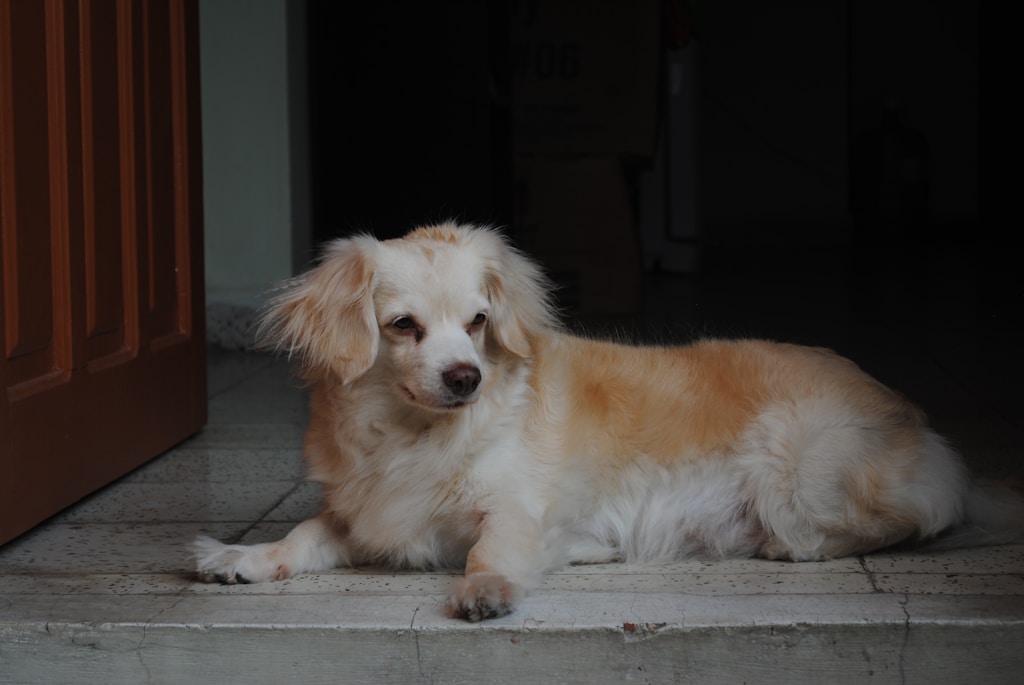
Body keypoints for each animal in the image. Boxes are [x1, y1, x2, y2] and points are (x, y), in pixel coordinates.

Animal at [193, 220, 1024, 618]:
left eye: (478, 320)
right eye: (403, 326)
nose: (466, 377)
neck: (411, 435)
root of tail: (924, 425)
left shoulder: (513, 508)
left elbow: (490, 549)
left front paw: (485, 590)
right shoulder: (364, 512)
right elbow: (305, 533)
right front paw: (245, 556)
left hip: (797, 470)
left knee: (918, 520)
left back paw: (796, 547)